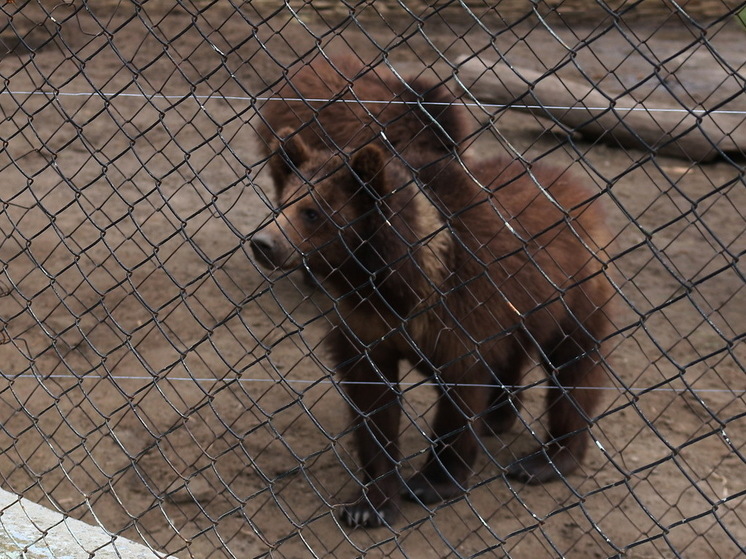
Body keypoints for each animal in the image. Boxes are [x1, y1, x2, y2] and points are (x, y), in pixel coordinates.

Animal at [250, 131, 612, 528]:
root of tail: (574, 182)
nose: (263, 244)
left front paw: (431, 482)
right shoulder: (365, 322)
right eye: (282, 204)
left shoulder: (463, 306)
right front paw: (369, 504)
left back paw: (547, 459)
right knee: (513, 353)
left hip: (574, 290)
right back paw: (496, 417)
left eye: (312, 212)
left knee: (574, 364)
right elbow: (372, 400)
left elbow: (459, 391)